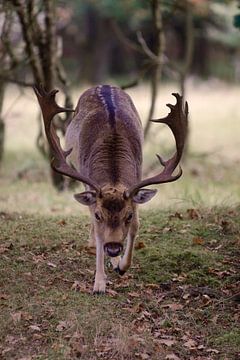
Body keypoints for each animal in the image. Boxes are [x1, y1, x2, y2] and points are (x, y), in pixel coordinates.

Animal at [33, 86, 188, 294]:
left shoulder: (136, 187)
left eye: (128, 215)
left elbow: (136, 227)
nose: (114, 248)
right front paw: (99, 284)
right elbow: (99, 233)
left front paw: (121, 266)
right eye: (99, 215)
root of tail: (104, 85)